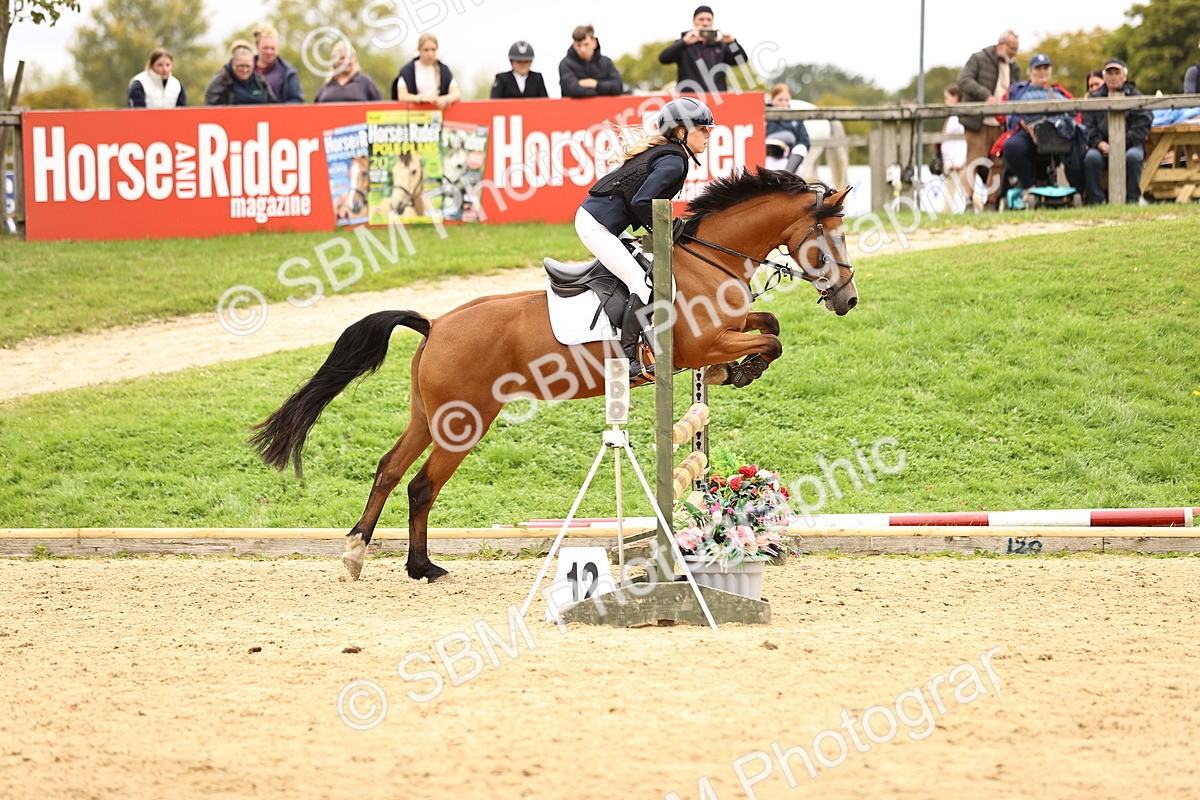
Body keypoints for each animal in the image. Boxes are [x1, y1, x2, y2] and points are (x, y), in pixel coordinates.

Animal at [251, 169, 858, 583]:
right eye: (829, 238)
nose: (848, 299)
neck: (702, 262)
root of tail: (435, 324)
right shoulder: (698, 342)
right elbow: (770, 339)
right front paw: (740, 370)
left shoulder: (725, 328)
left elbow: (768, 323)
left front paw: (734, 370)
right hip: (464, 422)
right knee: (422, 484)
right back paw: (419, 566)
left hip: (428, 418)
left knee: (389, 470)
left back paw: (367, 553)